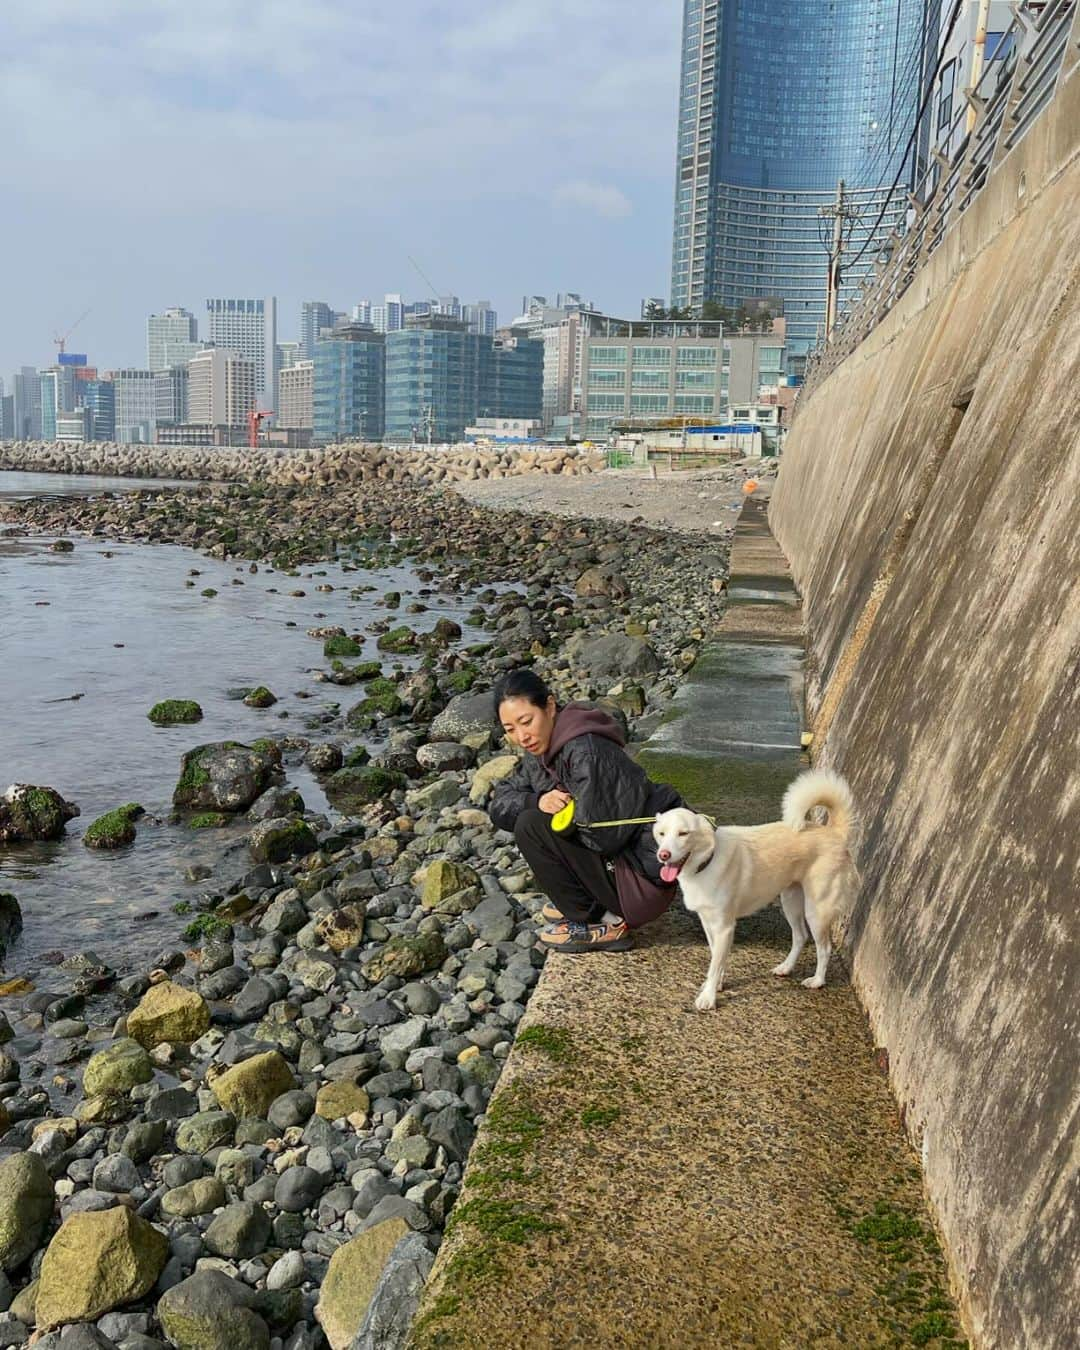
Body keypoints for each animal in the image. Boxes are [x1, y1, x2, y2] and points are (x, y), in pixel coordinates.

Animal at [653, 772, 858, 1015]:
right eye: (661, 834)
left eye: (683, 834)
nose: (663, 855)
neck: (708, 859)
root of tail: (834, 832)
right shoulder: (709, 923)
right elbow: (716, 958)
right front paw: (717, 984)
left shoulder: (724, 927)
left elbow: (715, 964)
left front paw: (708, 997)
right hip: (790, 902)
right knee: (800, 936)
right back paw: (786, 968)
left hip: (816, 911)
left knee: (824, 948)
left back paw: (817, 981)